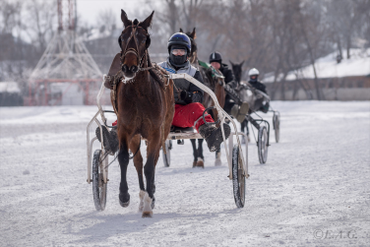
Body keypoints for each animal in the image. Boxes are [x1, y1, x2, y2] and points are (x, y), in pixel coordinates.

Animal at [114, 10, 173, 217]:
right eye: (121, 37)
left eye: (144, 39)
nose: (129, 68)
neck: (139, 92)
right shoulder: (125, 129)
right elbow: (125, 159)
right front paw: (124, 196)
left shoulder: (156, 131)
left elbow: (150, 166)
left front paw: (149, 202)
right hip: (136, 135)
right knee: (138, 161)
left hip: (164, 127)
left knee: (152, 161)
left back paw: (150, 194)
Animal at [181, 28, 227, 168]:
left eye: (194, 47)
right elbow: (192, 138)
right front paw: (196, 159)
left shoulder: (204, 107)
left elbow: (200, 136)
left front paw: (200, 160)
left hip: (217, 106)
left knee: (218, 124)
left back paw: (218, 157)